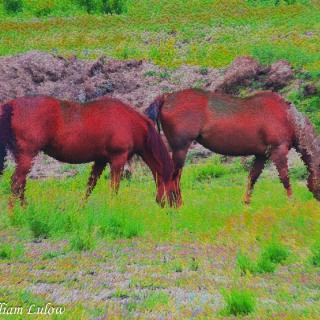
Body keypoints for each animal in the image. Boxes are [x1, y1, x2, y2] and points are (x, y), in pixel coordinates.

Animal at [0, 94, 180, 208]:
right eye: (175, 183)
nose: (177, 206)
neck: (132, 124)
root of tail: (11, 105)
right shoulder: (118, 159)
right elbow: (114, 188)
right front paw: (113, 209)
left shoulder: (100, 160)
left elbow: (89, 187)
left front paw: (80, 209)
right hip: (27, 155)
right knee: (16, 182)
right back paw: (16, 213)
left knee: (20, 183)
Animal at [146, 88, 320, 202]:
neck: (288, 118)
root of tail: (166, 97)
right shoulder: (278, 151)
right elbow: (285, 178)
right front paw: (292, 203)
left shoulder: (261, 155)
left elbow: (252, 179)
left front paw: (246, 204)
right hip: (180, 149)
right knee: (173, 176)